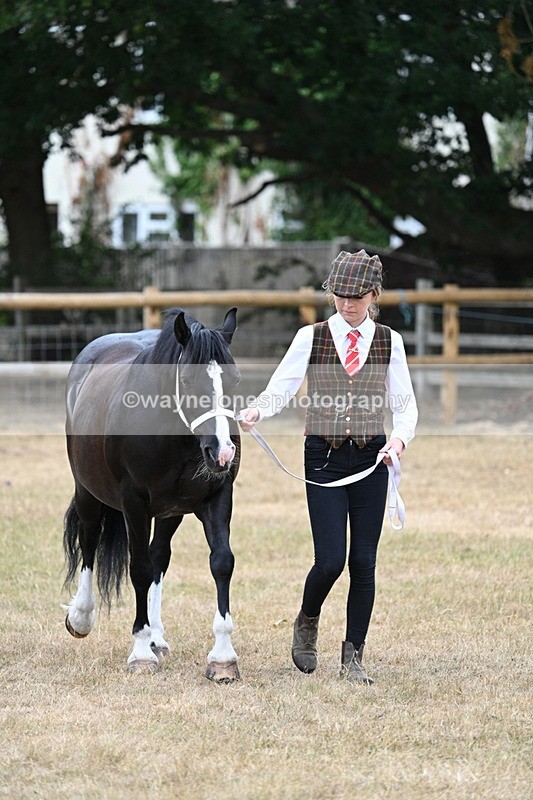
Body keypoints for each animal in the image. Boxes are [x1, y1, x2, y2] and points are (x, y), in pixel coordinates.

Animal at [63, 307, 242, 682]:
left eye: (234, 380)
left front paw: (222, 657)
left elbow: (221, 563)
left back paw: (158, 636)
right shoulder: (134, 504)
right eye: (186, 381)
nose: (222, 452)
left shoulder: (218, 496)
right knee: (89, 540)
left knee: (160, 555)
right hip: (87, 491)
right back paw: (82, 617)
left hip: (170, 512)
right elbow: (140, 569)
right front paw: (141, 652)